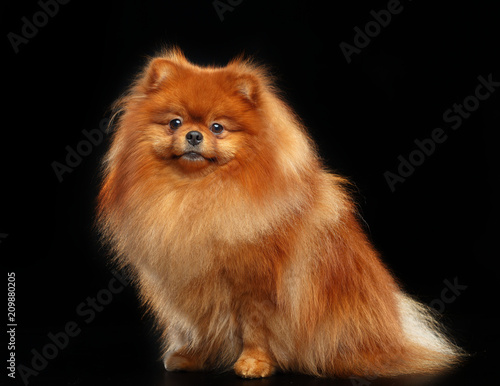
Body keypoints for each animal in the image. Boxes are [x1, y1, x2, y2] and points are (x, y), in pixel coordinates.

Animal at [95, 47, 462, 376]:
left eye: (217, 128)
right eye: (174, 122)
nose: (194, 135)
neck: (195, 194)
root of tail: (397, 336)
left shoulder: (257, 286)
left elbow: (255, 329)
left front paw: (253, 364)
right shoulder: (188, 282)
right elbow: (197, 324)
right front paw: (191, 356)